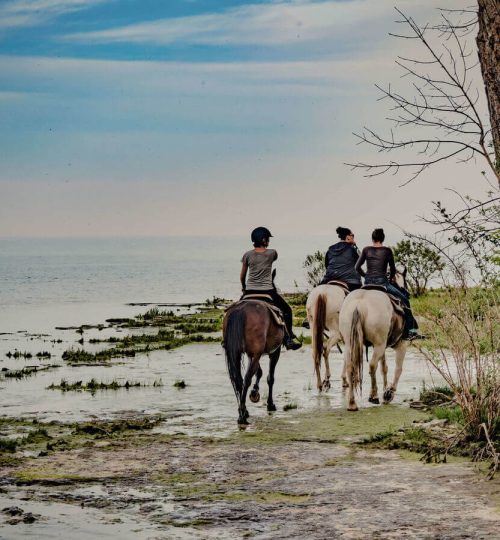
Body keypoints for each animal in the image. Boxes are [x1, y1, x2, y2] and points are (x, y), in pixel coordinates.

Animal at [338, 272, 408, 412]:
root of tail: (359, 303)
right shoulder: (401, 344)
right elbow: (398, 369)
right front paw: (389, 393)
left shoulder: (383, 347)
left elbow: (384, 368)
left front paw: (386, 389)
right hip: (378, 345)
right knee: (372, 366)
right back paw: (374, 396)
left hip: (350, 344)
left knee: (350, 367)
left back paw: (352, 403)